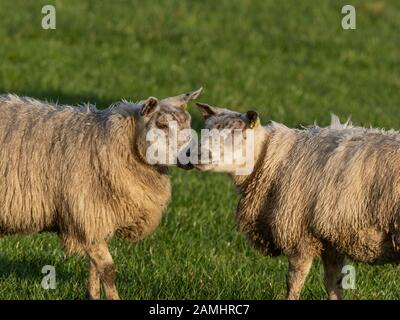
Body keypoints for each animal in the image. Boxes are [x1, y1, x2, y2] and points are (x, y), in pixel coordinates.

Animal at [0, 88, 202, 300]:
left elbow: (94, 268)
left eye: (188, 123)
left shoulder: (96, 220)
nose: (194, 155)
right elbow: (107, 269)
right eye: (161, 125)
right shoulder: (86, 215)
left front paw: (93, 295)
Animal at [192, 102, 400, 300]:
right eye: (206, 129)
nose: (199, 155)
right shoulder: (329, 239)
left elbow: (294, 281)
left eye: (236, 132)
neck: (268, 160)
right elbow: (333, 284)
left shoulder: (299, 235)